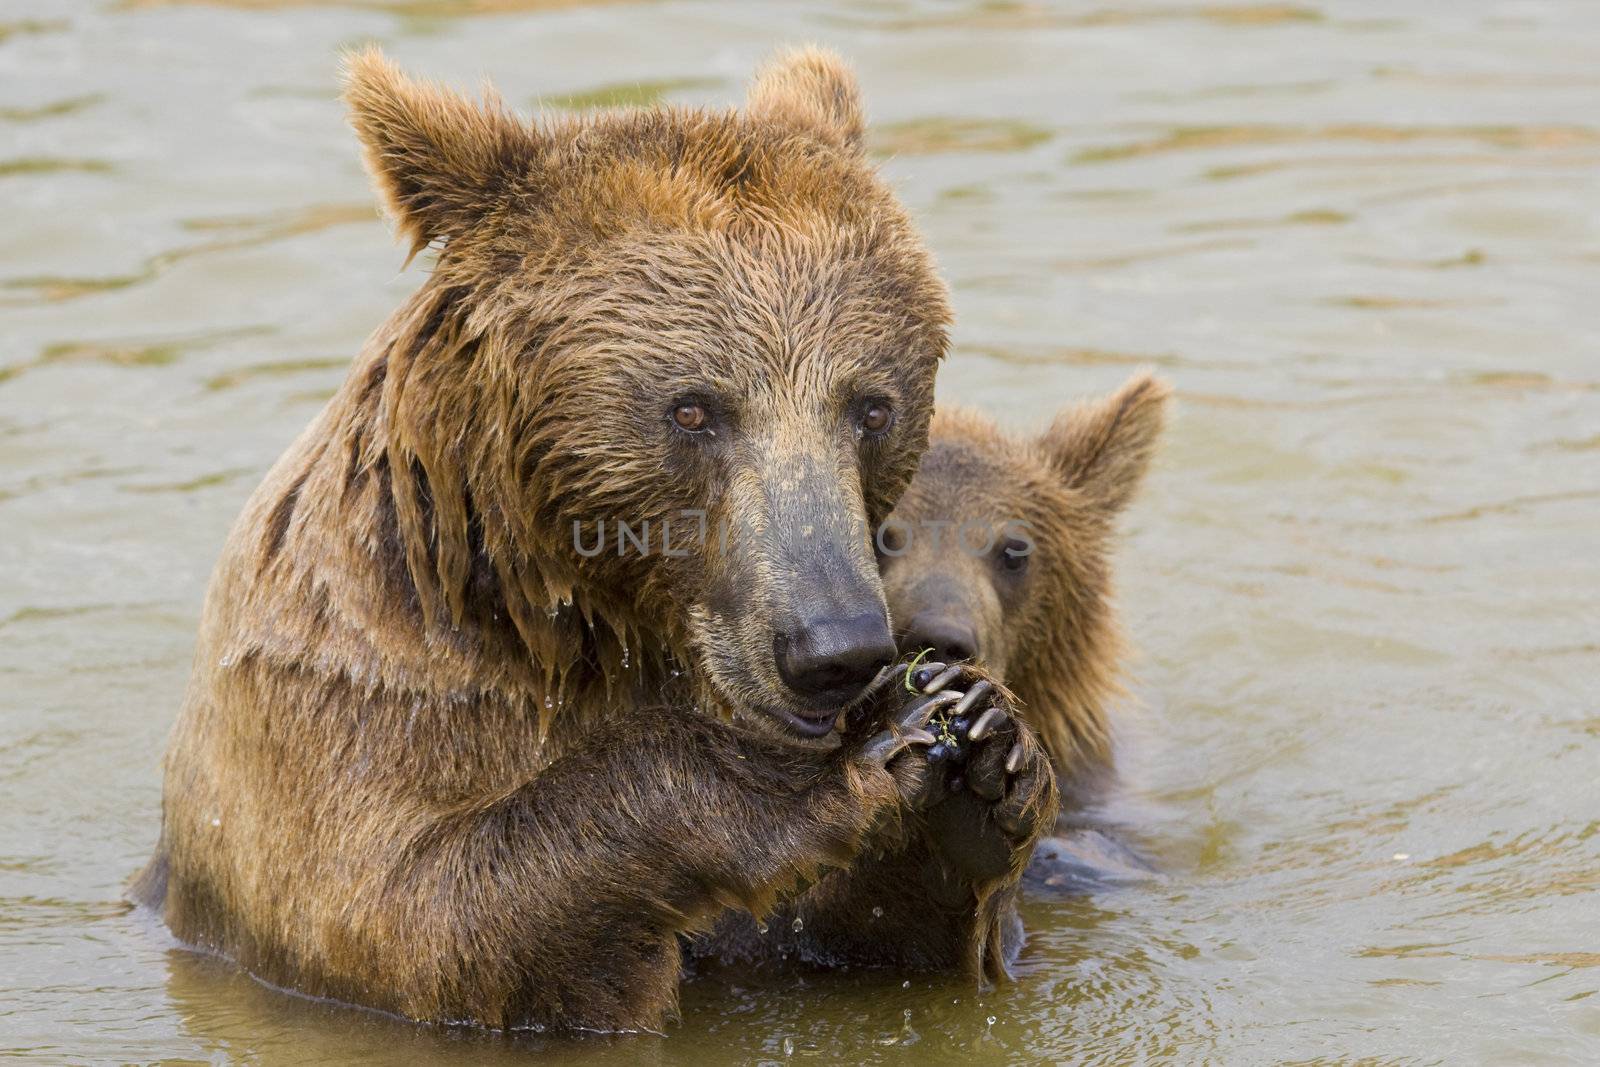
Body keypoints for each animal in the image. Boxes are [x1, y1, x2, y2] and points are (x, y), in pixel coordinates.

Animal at [131, 45, 1056, 1030]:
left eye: (871, 406)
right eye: (693, 408)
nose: (834, 648)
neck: (571, 617)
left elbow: (854, 944)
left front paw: (981, 752)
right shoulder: (345, 712)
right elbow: (421, 910)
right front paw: (833, 768)